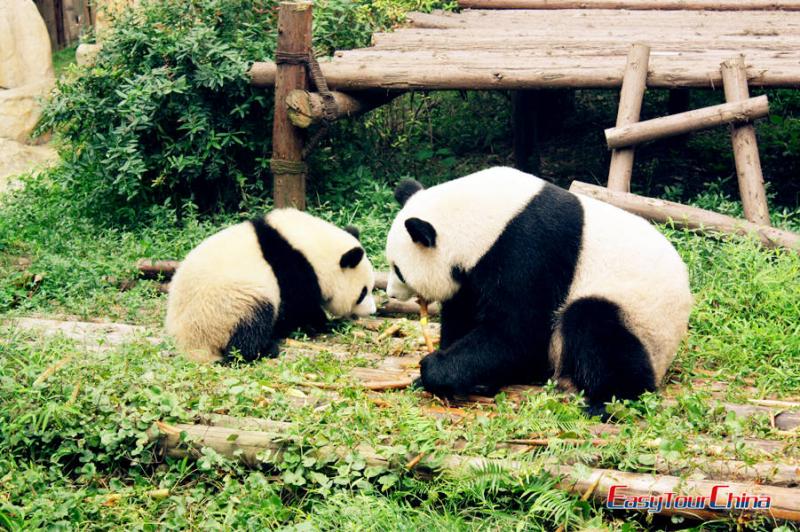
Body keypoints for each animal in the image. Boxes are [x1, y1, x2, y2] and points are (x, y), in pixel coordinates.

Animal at [166, 208, 377, 363]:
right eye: (363, 293)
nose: (372, 310)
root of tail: (191, 346)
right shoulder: (290, 268)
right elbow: (299, 306)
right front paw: (325, 324)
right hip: (226, 306)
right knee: (252, 323)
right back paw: (265, 350)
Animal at [385, 167, 692, 416]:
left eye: (398, 269)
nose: (390, 294)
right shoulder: (477, 270)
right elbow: (466, 311)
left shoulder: (529, 250)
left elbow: (519, 332)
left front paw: (434, 369)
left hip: (642, 321)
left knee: (594, 323)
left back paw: (608, 402)